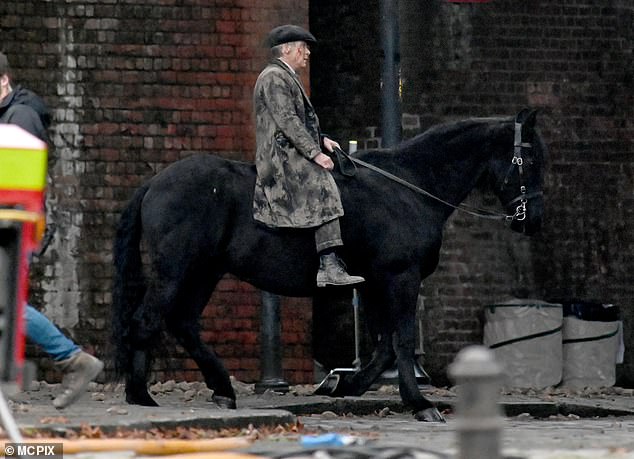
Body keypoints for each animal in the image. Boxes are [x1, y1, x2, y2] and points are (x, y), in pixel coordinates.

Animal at [112, 108, 544, 424]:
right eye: (529, 157)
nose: (533, 221)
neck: (408, 187)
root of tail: (154, 183)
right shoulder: (400, 278)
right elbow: (401, 341)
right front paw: (420, 403)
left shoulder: (372, 283)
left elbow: (384, 346)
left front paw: (342, 386)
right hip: (178, 270)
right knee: (148, 321)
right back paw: (141, 395)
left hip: (204, 271)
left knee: (182, 322)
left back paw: (220, 389)